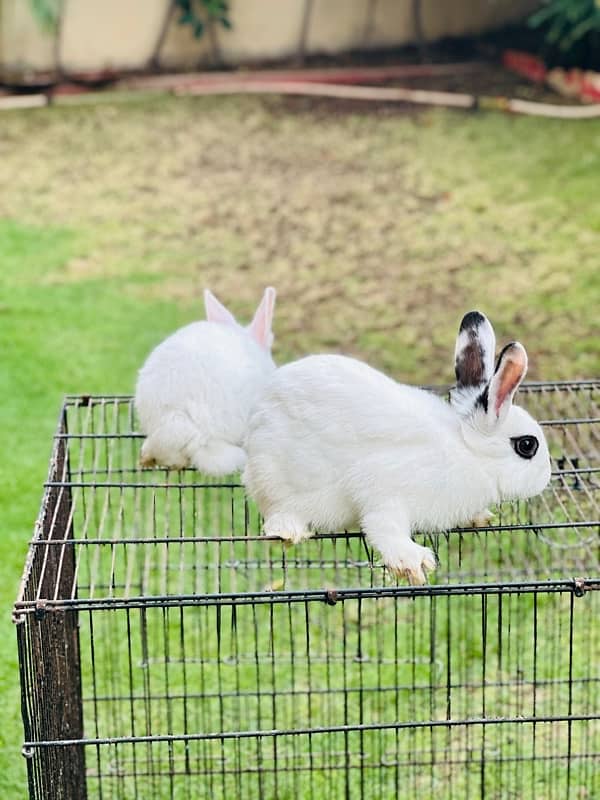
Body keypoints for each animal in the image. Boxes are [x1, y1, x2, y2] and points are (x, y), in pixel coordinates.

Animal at [243, 314, 548, 588]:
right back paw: (288, 529)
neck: (468, 451)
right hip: (274, 476)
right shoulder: (382, 489)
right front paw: (413, 562)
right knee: (275, 509)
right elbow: (383, 525)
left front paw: (481, 517)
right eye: (527, 445)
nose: (546, 479)